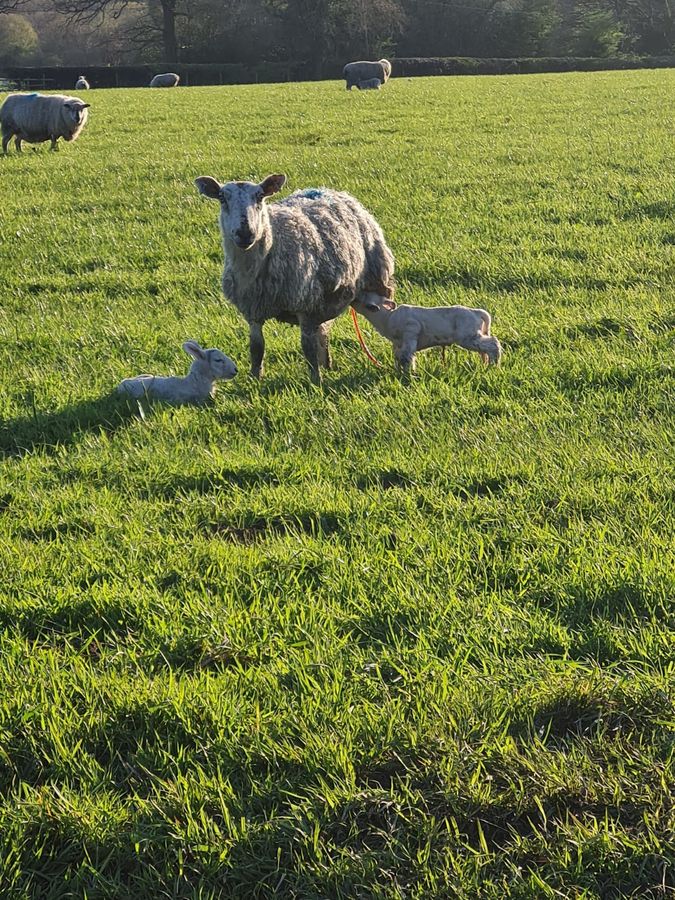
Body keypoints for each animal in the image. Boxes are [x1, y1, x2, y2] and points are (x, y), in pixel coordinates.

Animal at [194, 174, 396, 385]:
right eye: (222, 198)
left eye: (260, 197)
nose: (245, 233)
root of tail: (332, 191)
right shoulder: (253, 312)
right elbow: (257, 348)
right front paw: (255, 378)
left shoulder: (305, 305)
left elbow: (308, 349)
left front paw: (316, 382)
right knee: (323, 332)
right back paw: (327, 365)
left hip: (376, 281)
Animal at [352, 294, 502, 372]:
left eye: (359, 299)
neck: (387, 318)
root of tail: (477, 312)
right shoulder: (398, 343)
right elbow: (399, 357)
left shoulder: (411, 331)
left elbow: (407, 356)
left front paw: (409, 373)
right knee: (486, 348)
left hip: (468, 337)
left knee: (493, 344)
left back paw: (493, 366)